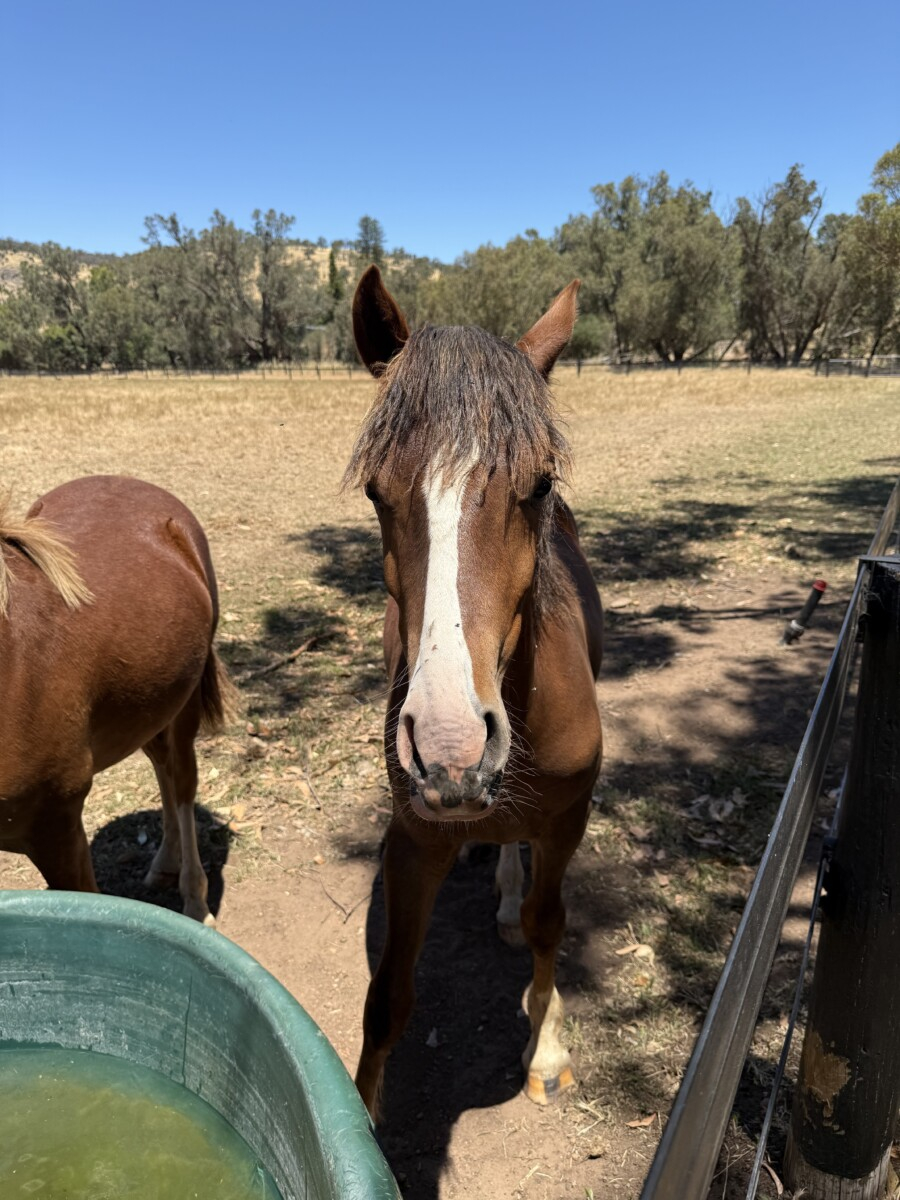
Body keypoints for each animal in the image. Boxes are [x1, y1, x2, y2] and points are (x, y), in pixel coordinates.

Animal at [0, 475, 231, 924]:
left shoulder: (57, 830)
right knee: (162, 766)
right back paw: (165, 863)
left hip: (184, 708)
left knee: (182, 781)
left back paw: (194, 900)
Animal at [346, 267, 604, 1118]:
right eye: (375, 491)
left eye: (541, 484)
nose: (451, 749)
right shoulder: (413, 841)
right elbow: (387, 998)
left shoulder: (566, 818)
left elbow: (548, 923)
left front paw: (546, 1049)